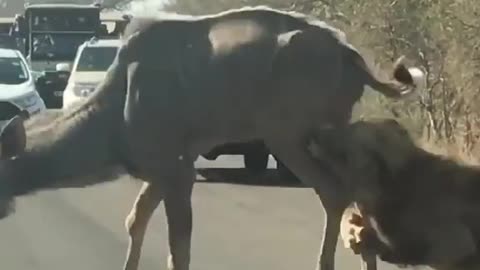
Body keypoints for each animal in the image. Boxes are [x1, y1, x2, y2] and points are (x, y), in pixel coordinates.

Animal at [0, 5, 424, 270]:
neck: (113, 116)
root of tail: (352, 58)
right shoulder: (163, 167)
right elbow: (135, 220)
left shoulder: (176, 169)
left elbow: (178, 248)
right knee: (352, 187)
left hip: (290, 132)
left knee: (334, 189)